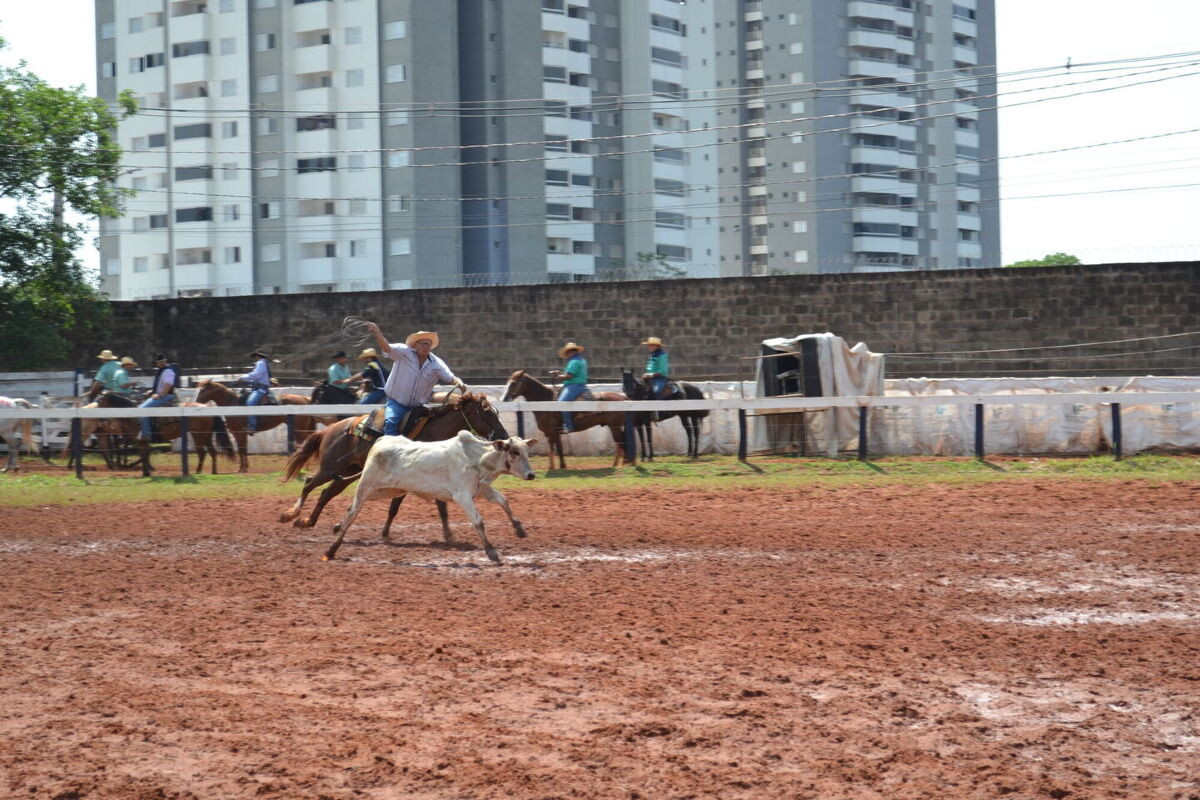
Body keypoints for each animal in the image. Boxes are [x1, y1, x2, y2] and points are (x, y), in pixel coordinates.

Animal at [87, 393, 237, 474]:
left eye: (100, 402)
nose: (97, 419)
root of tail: (206, 406)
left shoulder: (140, 439)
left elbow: (144, 454)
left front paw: (145, 471)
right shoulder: (141, 440)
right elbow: (145, 454)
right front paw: (146, 470)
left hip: (198, 435)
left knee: (202, 452)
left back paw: (198, 471)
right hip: (206, 435)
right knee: (212, 452)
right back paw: (213, 472)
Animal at [278, 393, 508, 544]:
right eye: (487, 412)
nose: (503, 436)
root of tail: (330, 429)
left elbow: (432, 506)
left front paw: (448, 535)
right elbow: (398, 507)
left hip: (346, 473)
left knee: (326, 493)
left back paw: (308, 521)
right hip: (330, 467)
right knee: (309, 484)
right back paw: (290, 515)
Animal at [326, 431, 537, 563]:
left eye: (527, 451)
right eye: (514, 451)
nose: (531, 475)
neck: (476, 459)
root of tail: (381, 441)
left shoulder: (482, 489)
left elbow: (503, 501)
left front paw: (519, 529)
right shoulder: (462, 496)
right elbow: (478, 522)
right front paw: (491, 551)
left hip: (389, 490)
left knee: (350, 509)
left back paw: (336, 529)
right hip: (366, 486)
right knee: (352, 512)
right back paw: (331, 550)